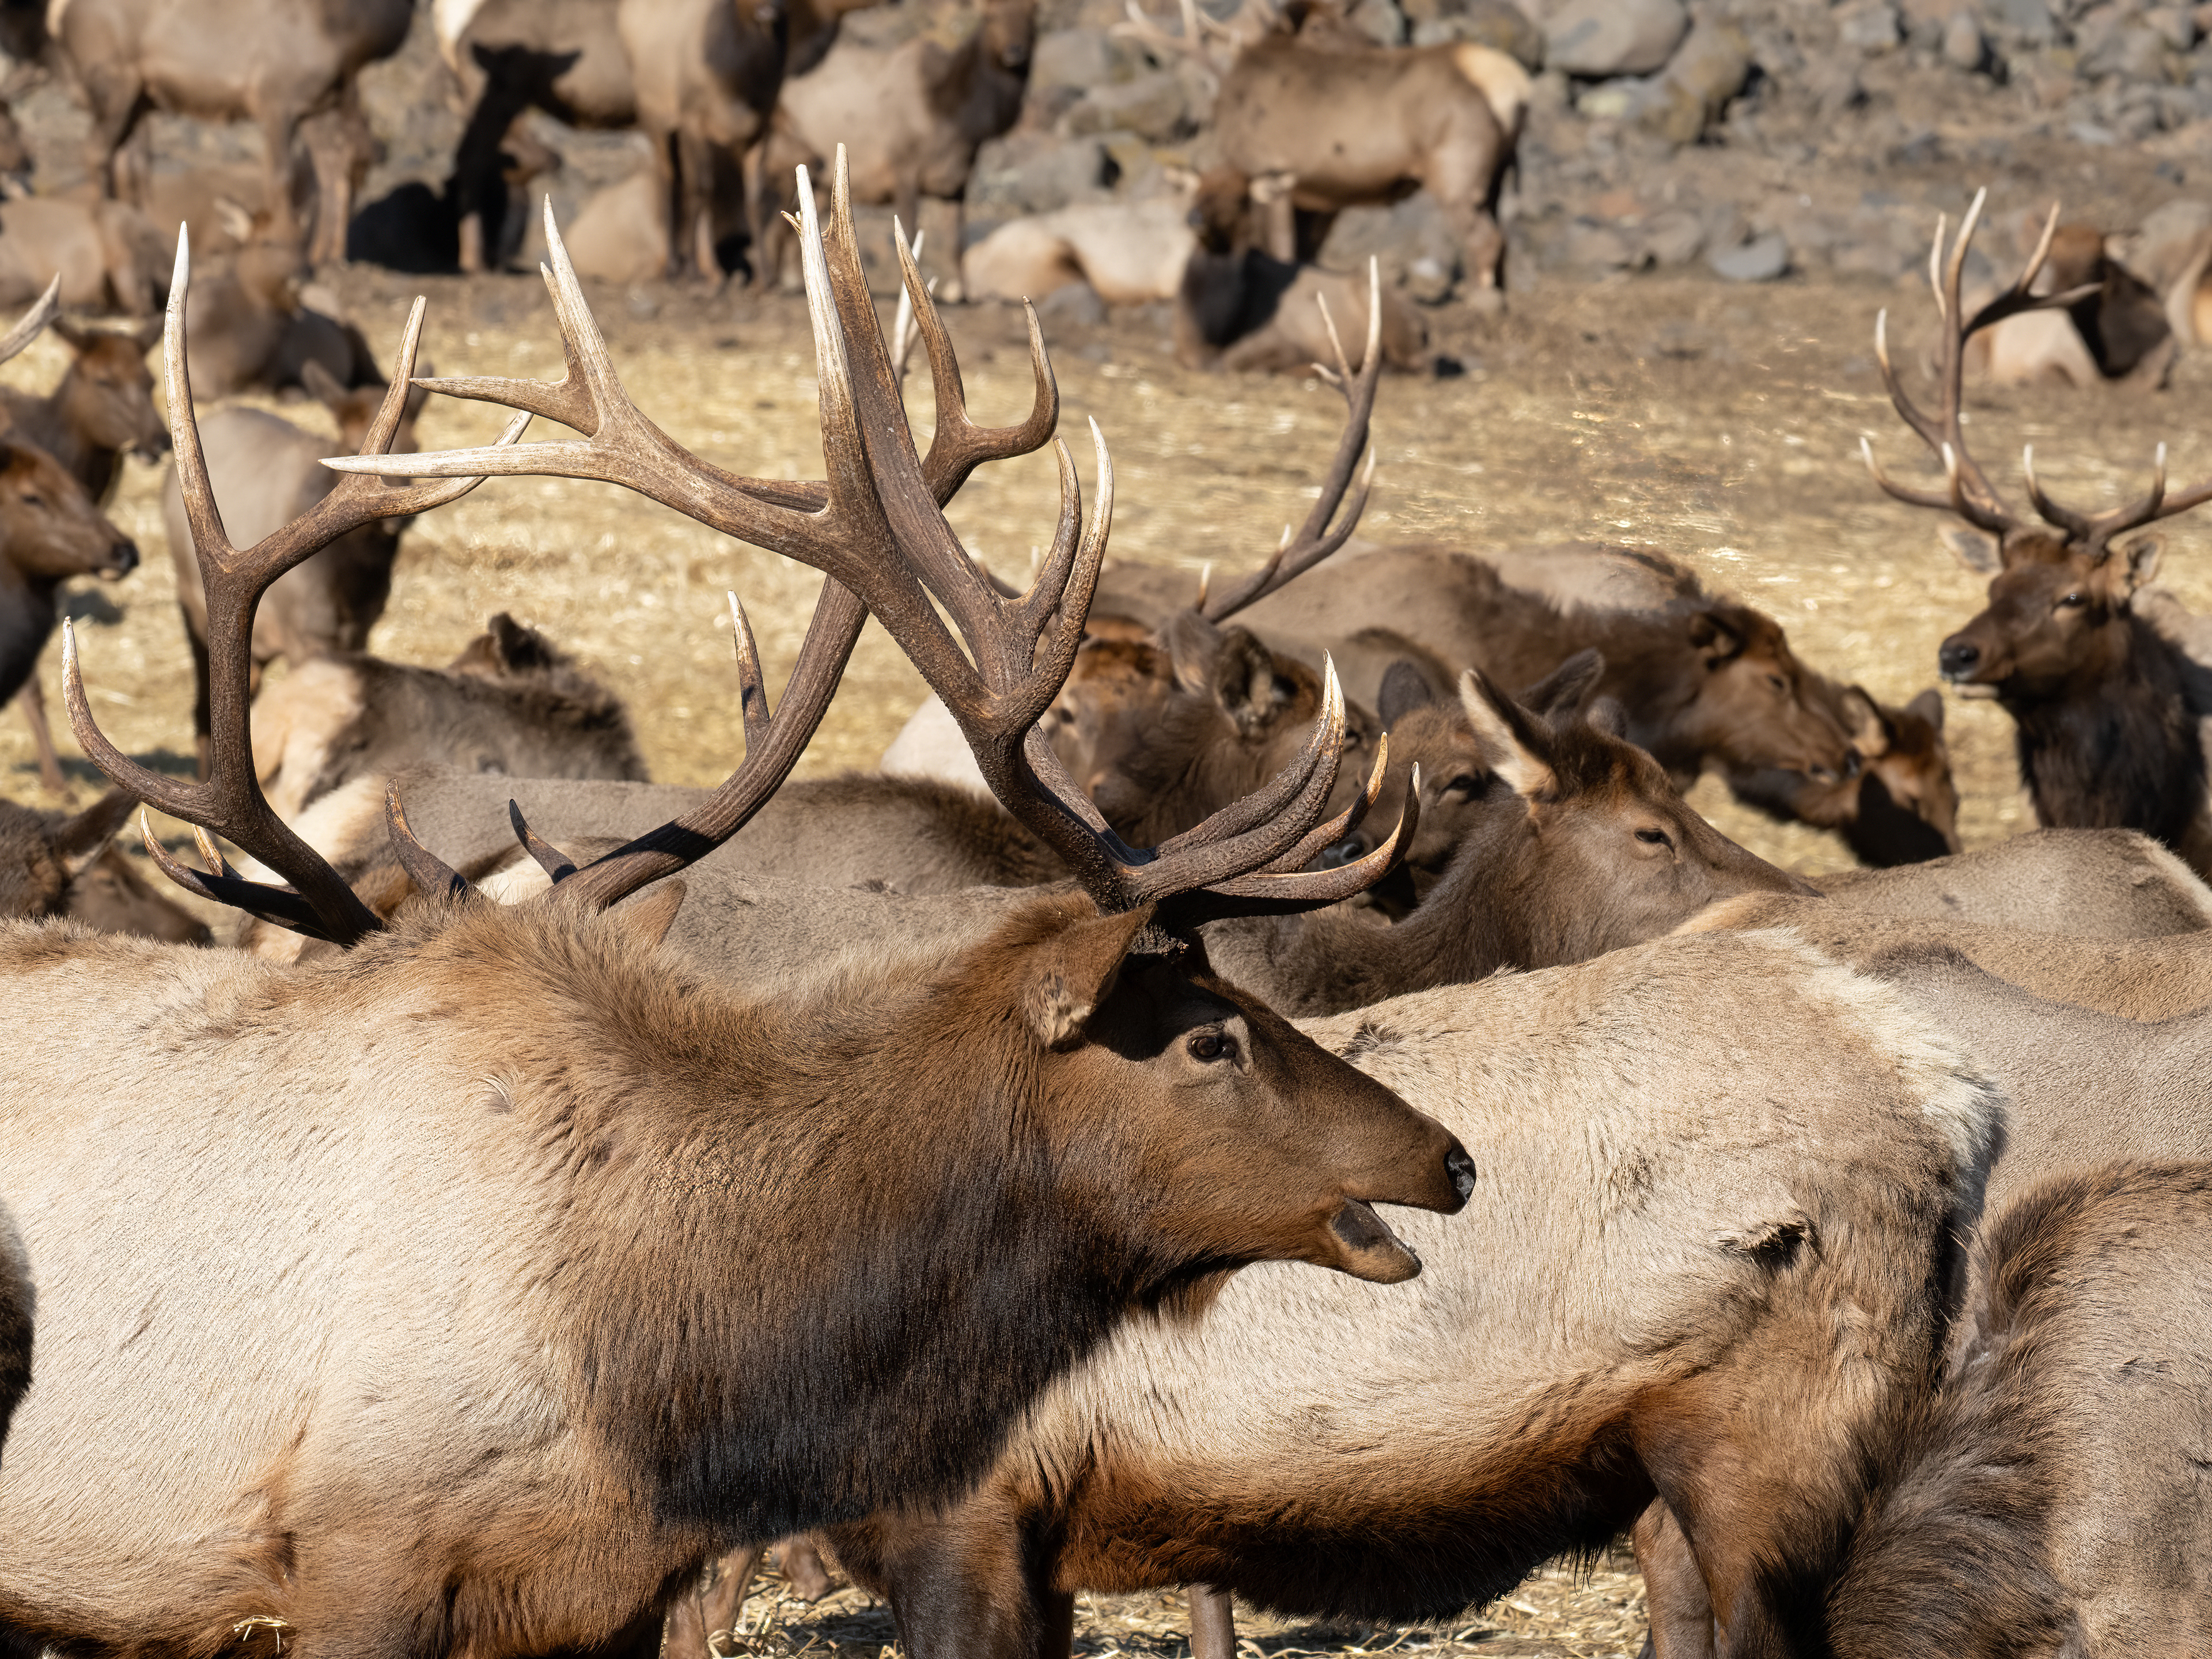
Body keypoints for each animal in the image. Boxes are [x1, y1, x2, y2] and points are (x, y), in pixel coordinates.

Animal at [1121, 0, 1528, 301]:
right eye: (1320, 26)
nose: (1378, 46)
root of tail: (1515, 88)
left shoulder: (1272, 172)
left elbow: (1280, 252)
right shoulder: (1322, 197)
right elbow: (1305, 256)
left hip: (1456, 169)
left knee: (1485, 240)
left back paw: (1478, 302)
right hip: (1497, 173)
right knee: (1503, 238)